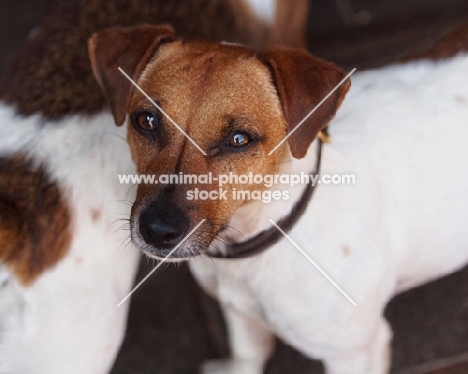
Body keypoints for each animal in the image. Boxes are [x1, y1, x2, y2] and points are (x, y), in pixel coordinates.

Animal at [88, 20, 468, 374]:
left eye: (239, 139)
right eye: (146, 121)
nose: (157, 230)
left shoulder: (355, 353)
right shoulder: (239, 312)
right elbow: (248, 354)